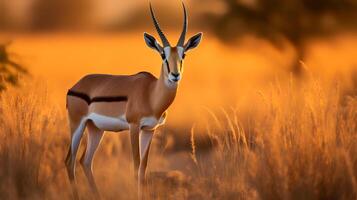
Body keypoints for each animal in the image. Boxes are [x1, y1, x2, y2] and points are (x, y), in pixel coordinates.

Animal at [64, 1, 202, 200]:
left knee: (85, 161)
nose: (175, 75)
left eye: (183, 55)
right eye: (163, 55)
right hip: (77, 125)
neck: (150, 94)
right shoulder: (134, 126)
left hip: (95, 128)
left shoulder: (149, 130)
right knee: (70, 161)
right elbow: (136, 167)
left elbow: (143, 169)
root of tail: (77, 85)